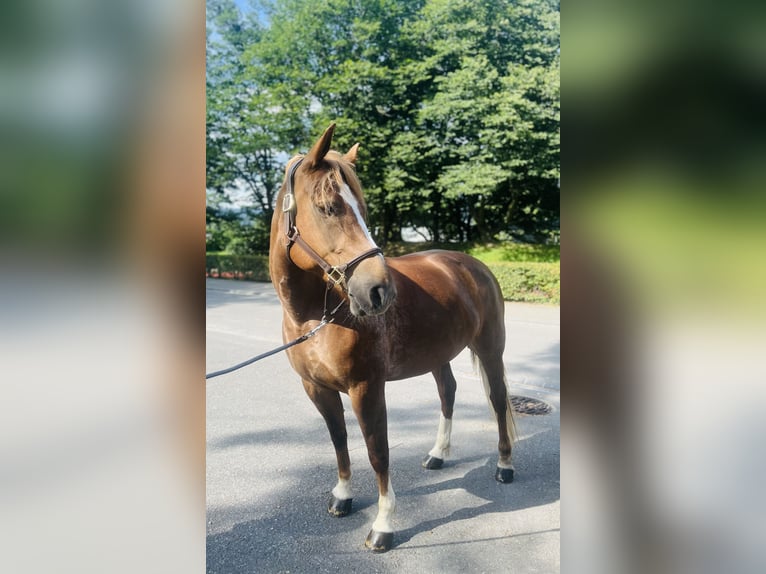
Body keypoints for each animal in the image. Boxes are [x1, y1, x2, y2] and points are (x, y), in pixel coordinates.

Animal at [270, 122, 516, 552]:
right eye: (326, 207)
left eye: (363, 209)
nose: (379, 291)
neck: (314, 317)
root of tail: (473, 266)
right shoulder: (316, 387)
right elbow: (339, 439)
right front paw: (343, 496)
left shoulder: (366, 388)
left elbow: (377, 452)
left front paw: (382, 525)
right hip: (438, 353)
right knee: (448, 392)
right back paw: (438, 454)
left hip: (490, 348)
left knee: (498, 400)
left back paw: (504, 465)